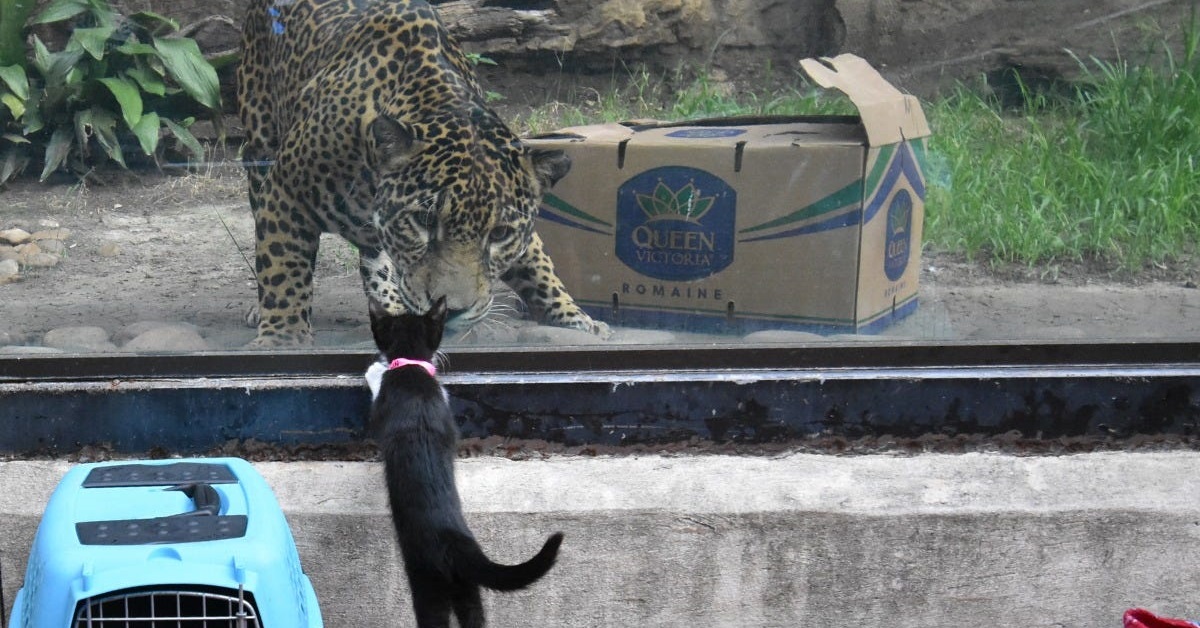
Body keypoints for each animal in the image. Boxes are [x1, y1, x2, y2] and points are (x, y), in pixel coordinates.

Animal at [364, 296, 561, 628]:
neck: (413, 371)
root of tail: (455, 541)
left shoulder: (382, 409)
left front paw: (374, 369)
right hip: (467, 586)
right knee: (475, 615)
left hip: (426, 581)